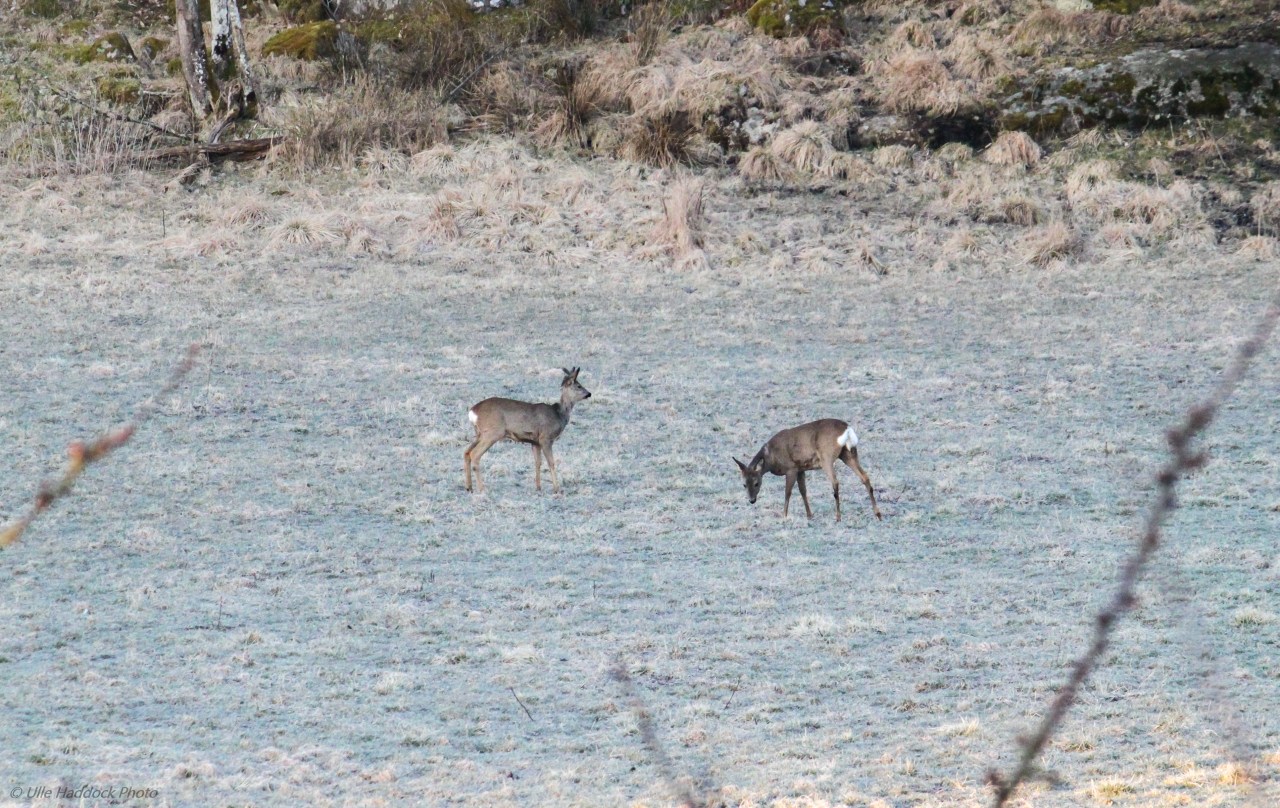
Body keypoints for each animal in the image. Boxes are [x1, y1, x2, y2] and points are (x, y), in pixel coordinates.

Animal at [734, 418, 882, 522]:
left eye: (757, 483)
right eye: (744, 484)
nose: (752, 500)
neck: (771, 457)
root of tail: (847, 429)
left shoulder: (791, 468)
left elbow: (788, 492)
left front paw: (784, 515)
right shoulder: (801, 469)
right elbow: (803, 491)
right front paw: (809, 515)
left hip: (826, 457)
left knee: (835, 482)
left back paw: (838, 517)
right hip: (848, 454)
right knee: (865, 477)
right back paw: (878, 514)